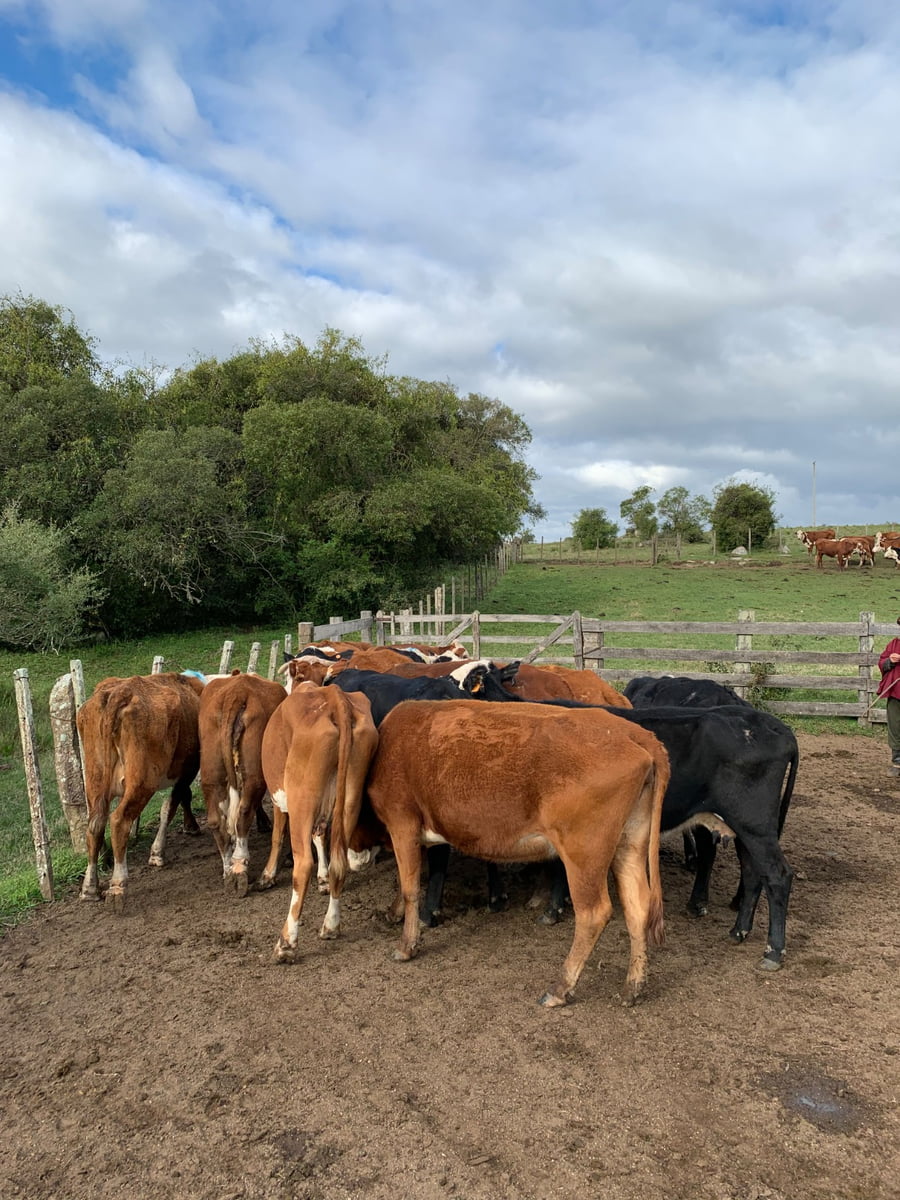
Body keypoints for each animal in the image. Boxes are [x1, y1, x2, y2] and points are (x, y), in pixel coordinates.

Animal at [78, 672, 205, 909]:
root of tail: (118, 693)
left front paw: (189, 825)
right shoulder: (189, 769)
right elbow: (172, 805)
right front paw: (158, 853)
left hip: (95, 782)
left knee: (94, 827)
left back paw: (90, 888)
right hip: (143, 782)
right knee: (119, 821)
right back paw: (118, 884)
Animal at [198, 672, 286, 896]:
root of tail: (237, 692)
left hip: (211, 771)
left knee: (216, 820)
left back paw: (228, 869)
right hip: (255, 771)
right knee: (244, 811)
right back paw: (239, 868)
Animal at [261, 682, 379, 960]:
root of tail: (335, 697)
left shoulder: (280, 799)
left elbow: (277, 836)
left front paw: (268, 874)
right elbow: (320, 835)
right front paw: (323, 878)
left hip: (301, 799)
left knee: (303, 864)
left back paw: (286, 942)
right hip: (351, 797)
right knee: (339, 863)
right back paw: (331, 925)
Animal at [365, 699, 669, 1006]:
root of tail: (632, 733)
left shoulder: (402, 823)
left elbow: (410, 888)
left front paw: (406, 945)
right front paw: (393, 912)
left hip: (584, 854)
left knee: (593, 913)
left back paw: (560, 988)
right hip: (629, 843)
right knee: (637, 906)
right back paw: (633, 986)